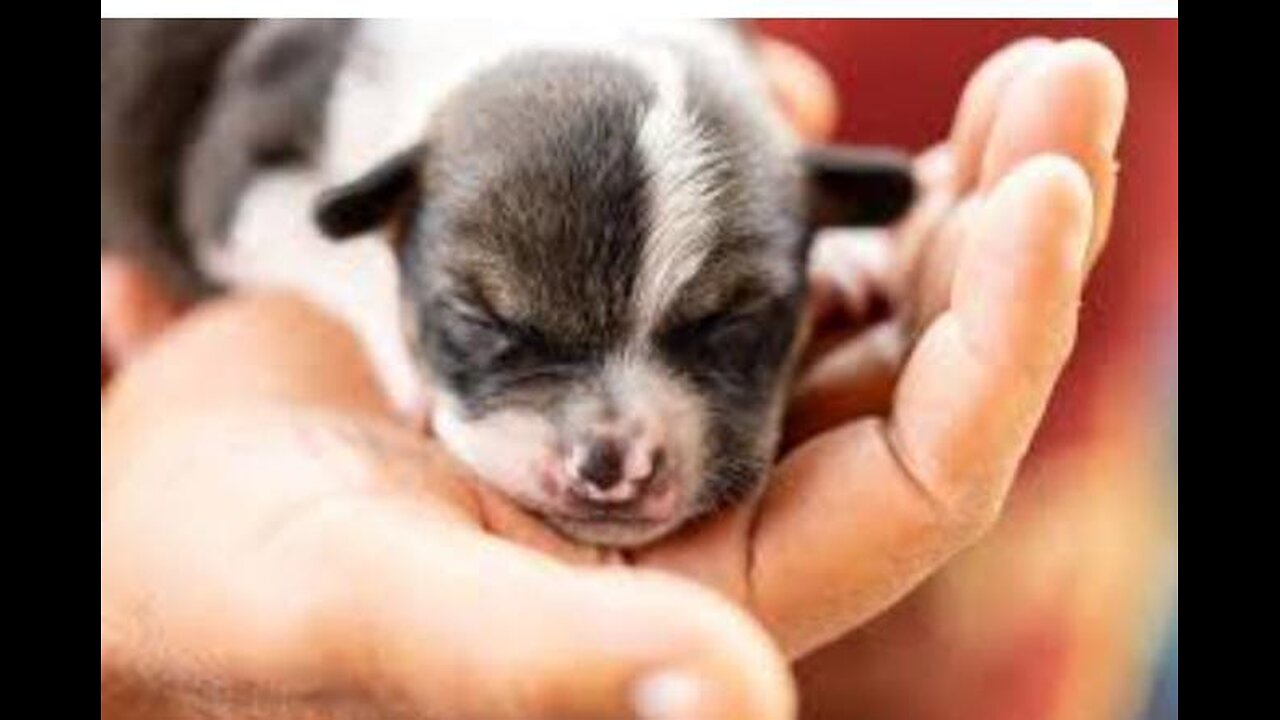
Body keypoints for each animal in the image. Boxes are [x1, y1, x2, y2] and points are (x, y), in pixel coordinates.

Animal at [104, 18, 916, 543]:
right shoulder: (231, 176)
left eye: (732, 328)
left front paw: (844, 254)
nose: (612, 465)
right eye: (483, 324)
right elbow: (331, 237)